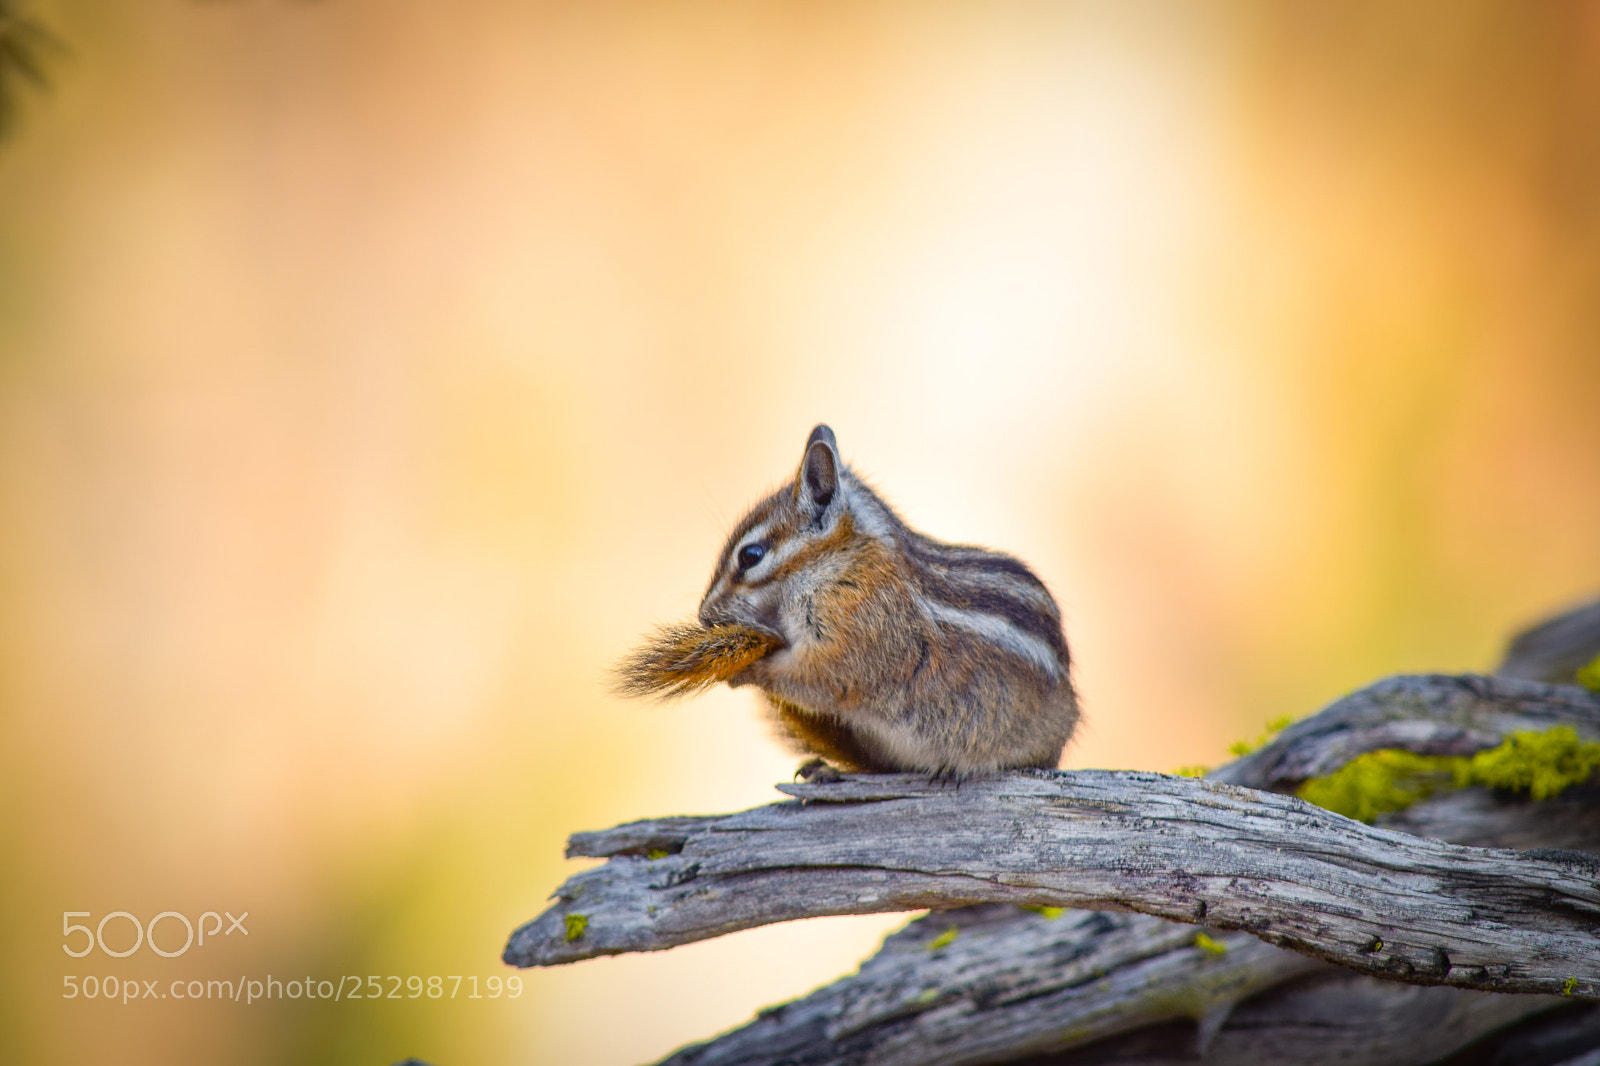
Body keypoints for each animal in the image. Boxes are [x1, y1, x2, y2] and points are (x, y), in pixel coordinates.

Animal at [617, 424, 1079, 777]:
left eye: (751, 556)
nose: (705, 616)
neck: (837, 561)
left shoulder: (856, 635)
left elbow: (819, 677)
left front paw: (745, 670)